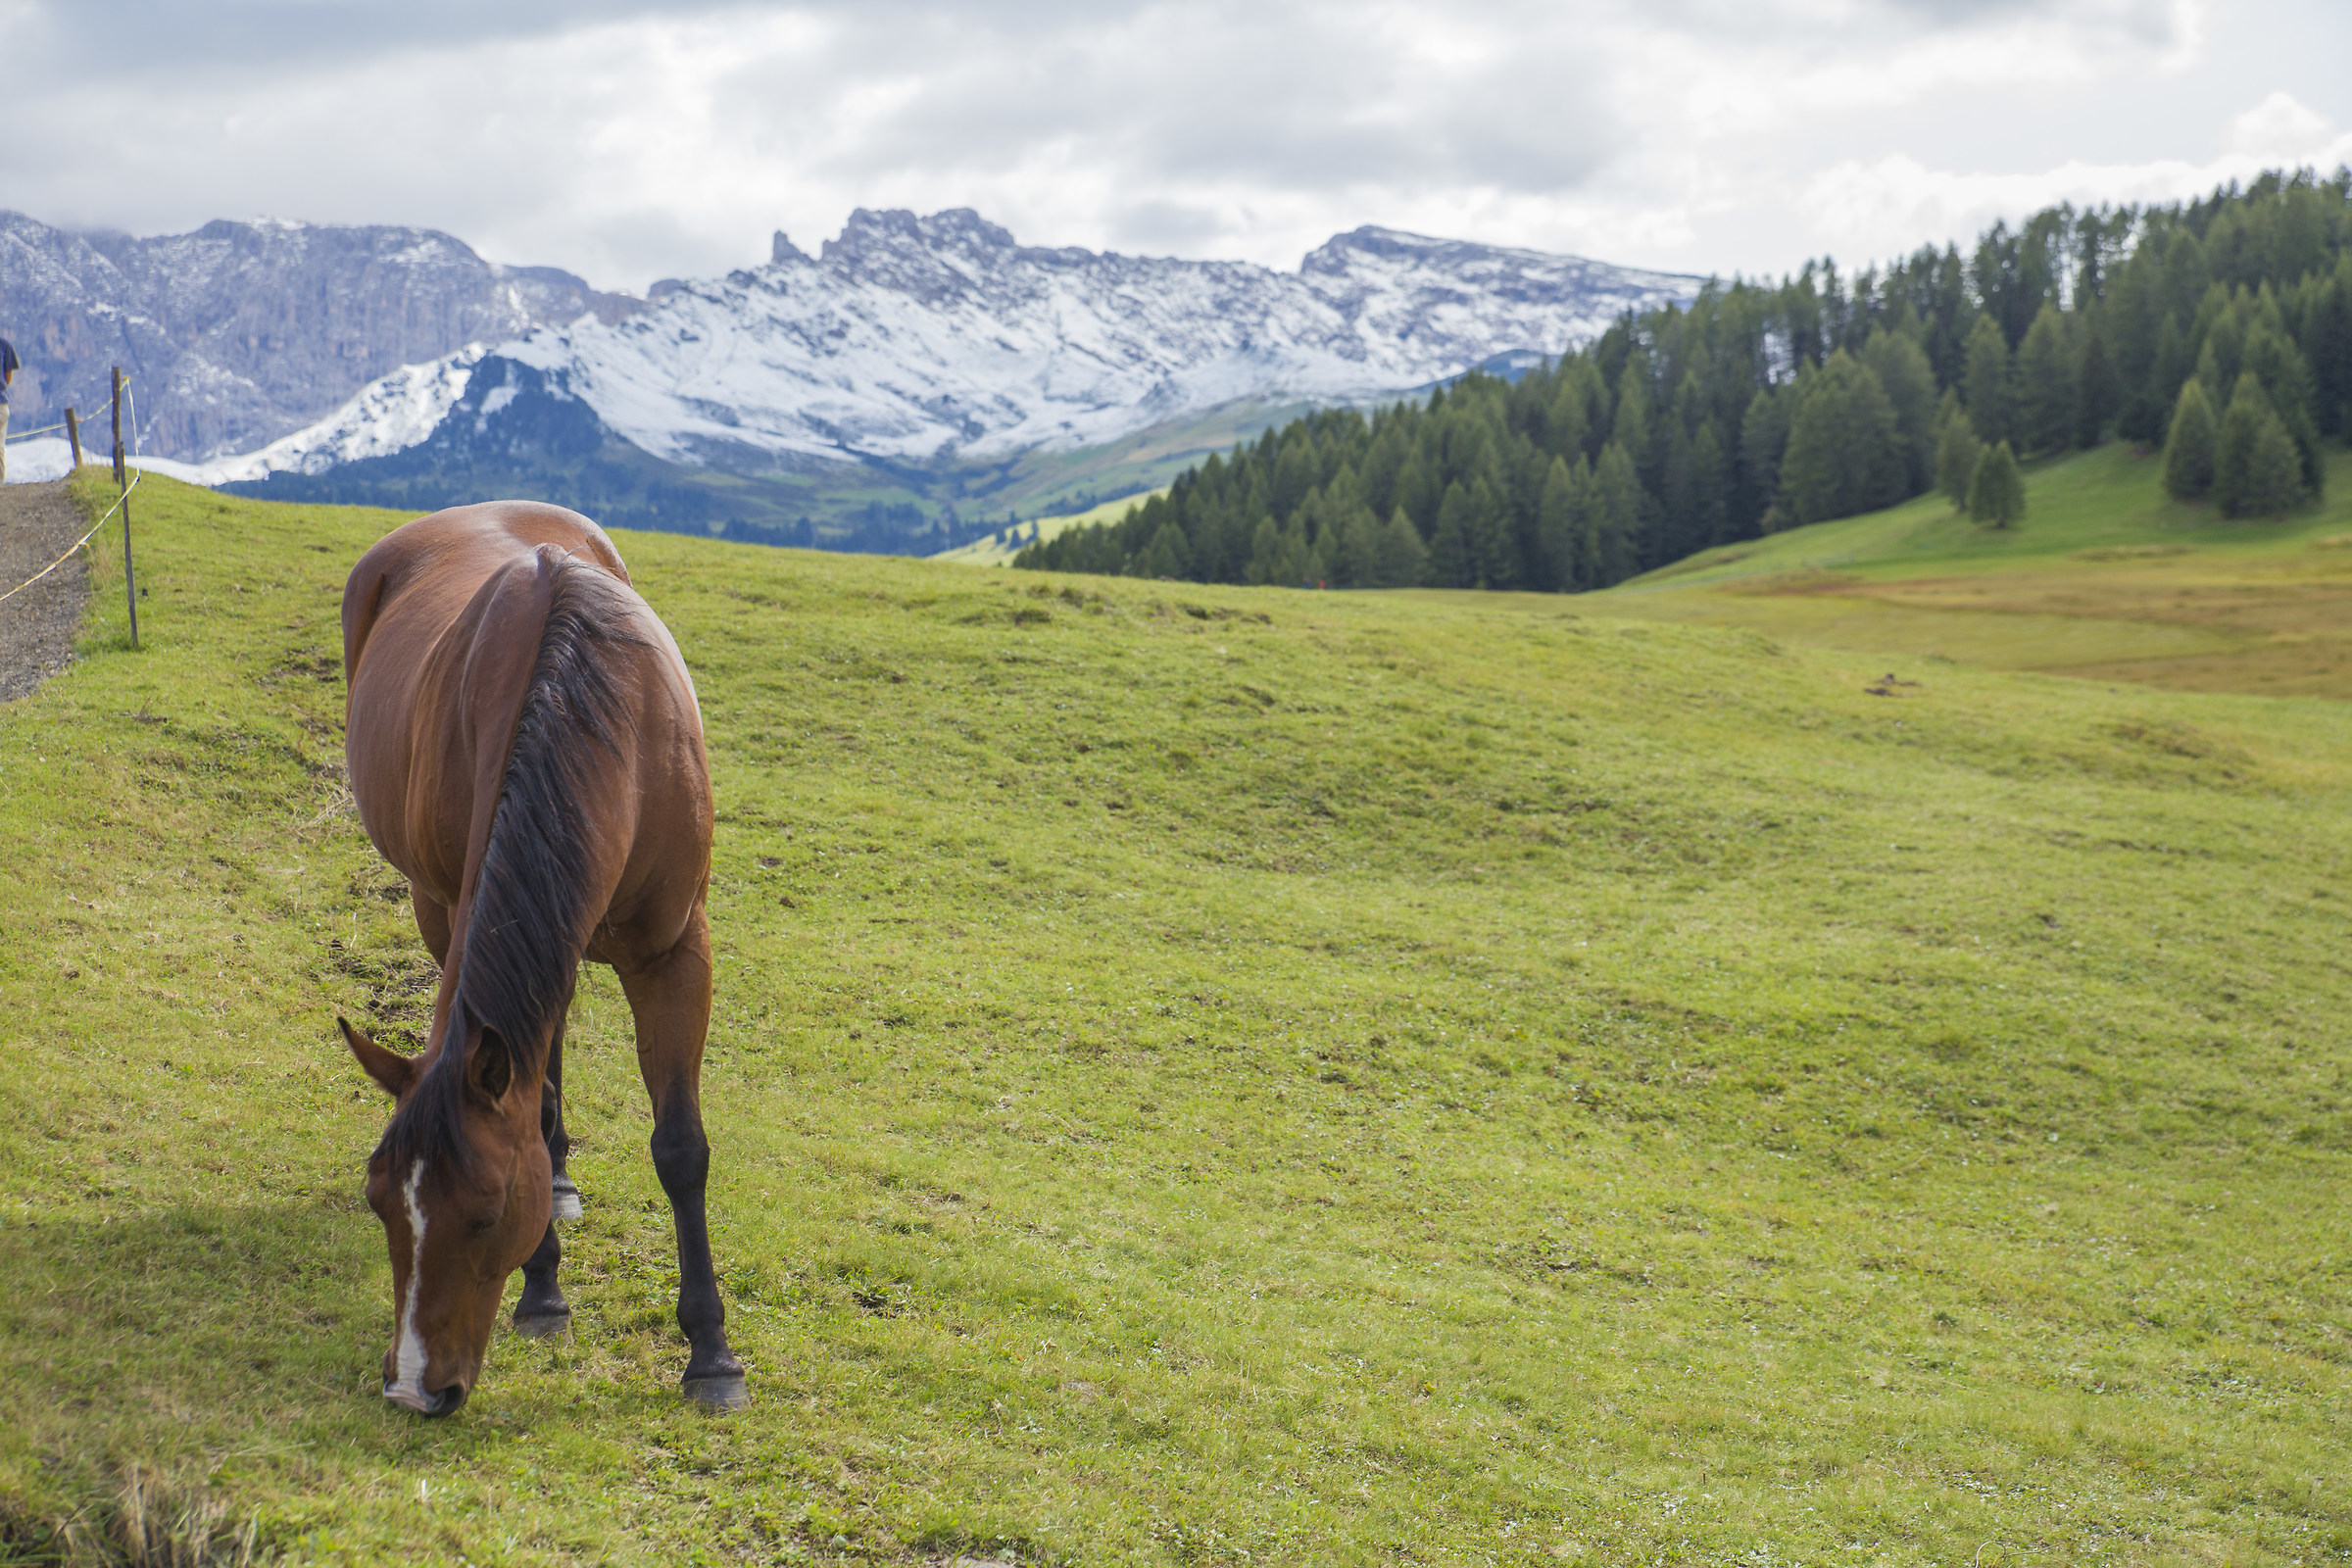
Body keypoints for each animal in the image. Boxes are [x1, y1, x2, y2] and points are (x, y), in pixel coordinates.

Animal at [334, 500, 747, 1415]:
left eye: (485, 1214)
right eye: (380, 1208)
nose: (414, 1388)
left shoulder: (677, 953)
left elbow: (681, 1147)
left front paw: (711, 1354)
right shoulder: (464, 910)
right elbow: (536, 1099)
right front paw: (545, 1292)